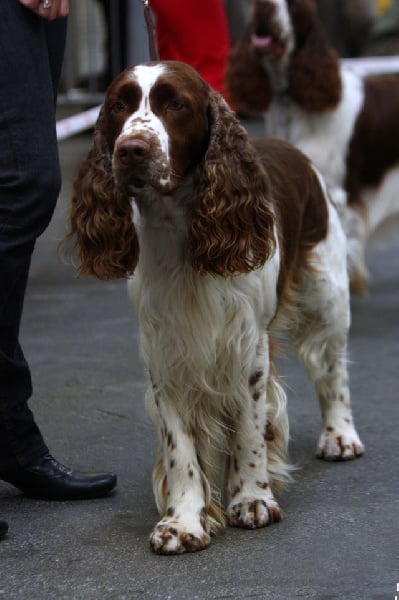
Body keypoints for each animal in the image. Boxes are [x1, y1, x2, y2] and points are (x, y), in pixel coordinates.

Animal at [67, 59, 364, 552]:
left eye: (175, 104)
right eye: (118, 106)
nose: (131, 150)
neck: (180, 230)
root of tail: (292, 149)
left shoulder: (247, 343)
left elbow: (249, 427)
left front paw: (252, 499)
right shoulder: (165, 349)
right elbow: (180, 447)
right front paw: (183, 520)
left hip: (327, 296)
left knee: (333, 369)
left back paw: (340, 436)